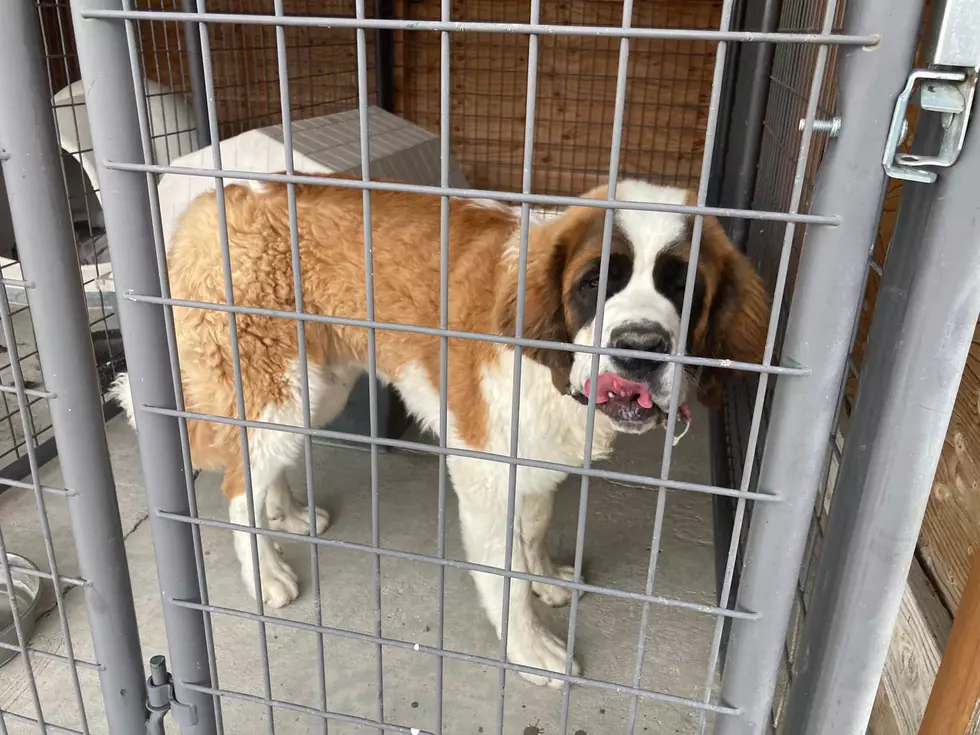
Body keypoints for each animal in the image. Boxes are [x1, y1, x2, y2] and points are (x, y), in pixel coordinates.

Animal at [111, 172, 768, 684]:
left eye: (684, 289)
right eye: (594, 283)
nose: (639, 348)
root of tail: (218, 196)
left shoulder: (534, 458)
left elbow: (533, 527)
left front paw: (545, 576)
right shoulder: (483, 471)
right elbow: (504, 580)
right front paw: (532, 649)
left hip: (313, 390)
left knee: (259, 464)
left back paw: (287, 513)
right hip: (279, 385)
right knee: (235, 487)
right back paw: (266, 573)